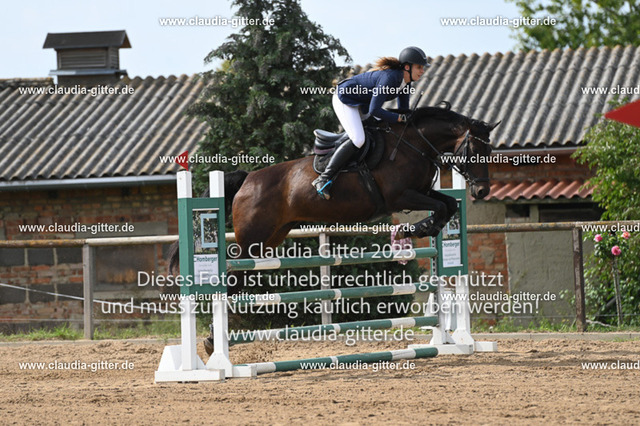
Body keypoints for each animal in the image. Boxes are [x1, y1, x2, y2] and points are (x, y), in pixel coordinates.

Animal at [169, 104, 499, 286]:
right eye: (474, 149)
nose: (482, 190)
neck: (413, 143)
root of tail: (248, 178)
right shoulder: (401, 197)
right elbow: (440, 208)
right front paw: (413, 230)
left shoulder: (421, 191)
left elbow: (448, 204)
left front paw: (423, 229)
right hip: (252, 239)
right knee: (233, 271)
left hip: (272, 237)